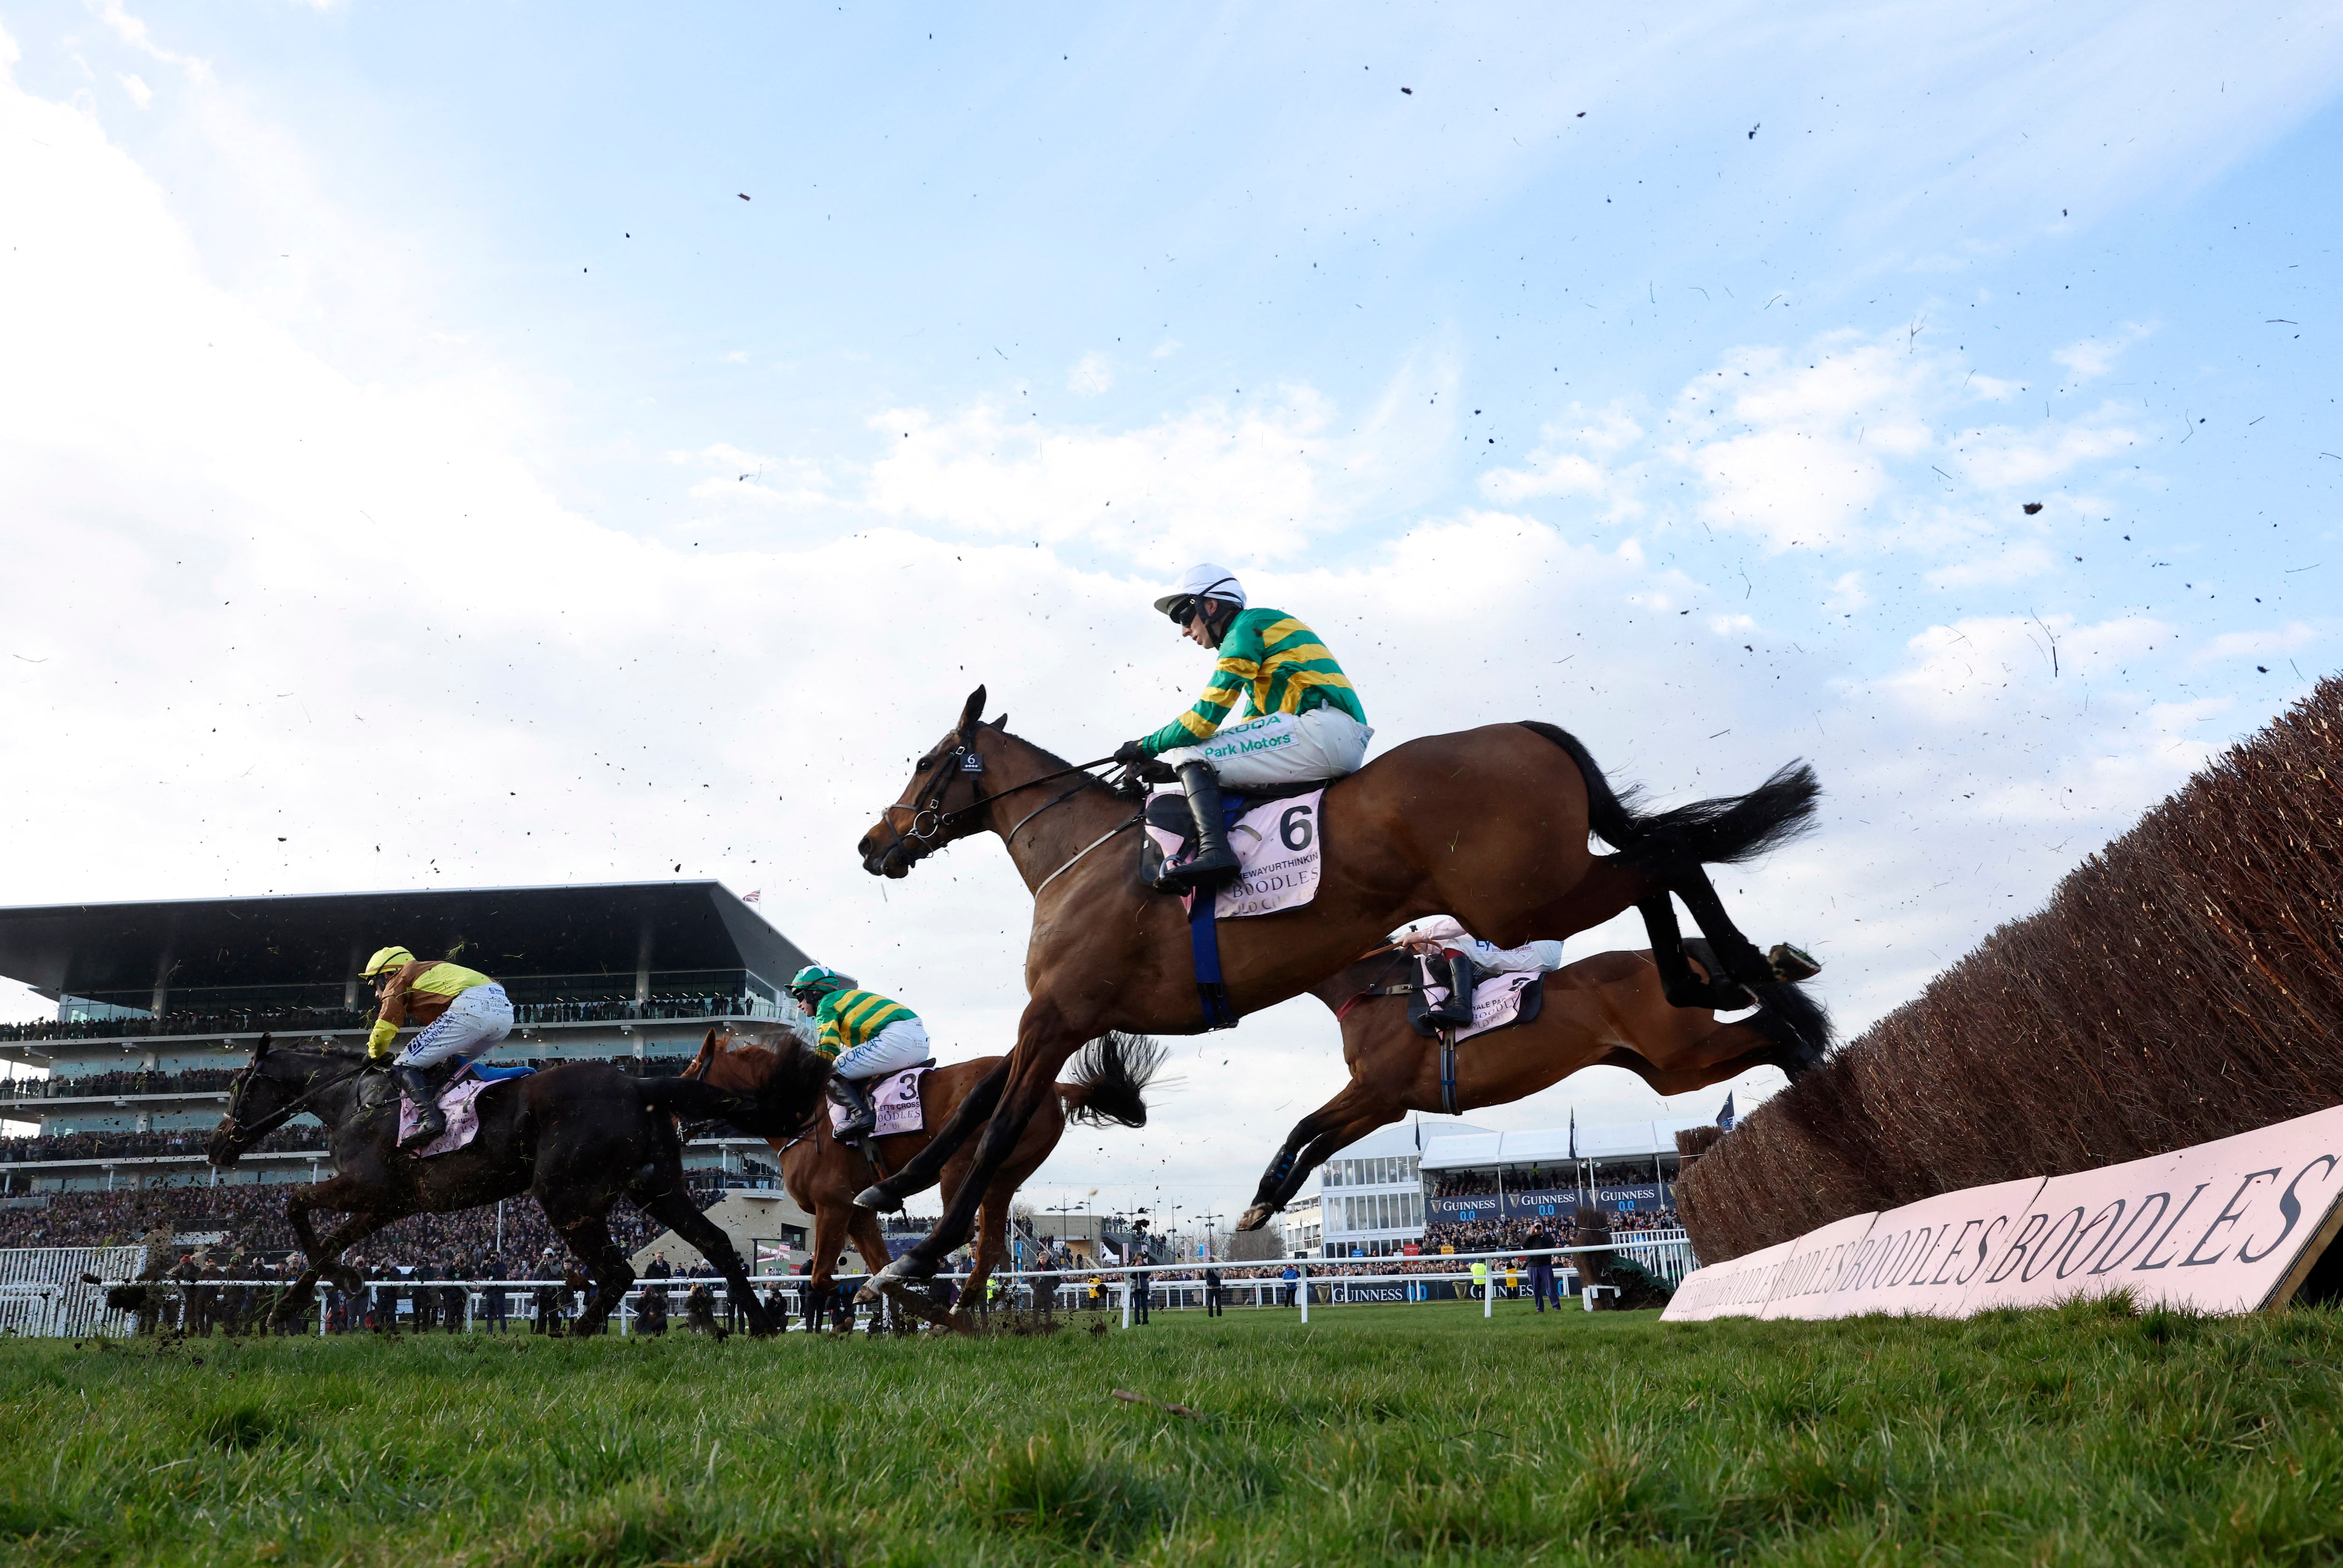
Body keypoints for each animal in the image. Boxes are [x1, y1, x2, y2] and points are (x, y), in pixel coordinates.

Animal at [204, 1034, 827, 1335]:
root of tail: (639, 1084)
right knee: (716, 1242)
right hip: (655, 1186)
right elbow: (330, 1240)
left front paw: (321, 1290)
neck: (353, 1100)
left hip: (565, 1195)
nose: (216, 1146)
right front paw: (307, 1298)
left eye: (240, 1085)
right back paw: (762, 1325)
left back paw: (573, 1334)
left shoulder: (367, 1185)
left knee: (618, 1271)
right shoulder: (392, 1202)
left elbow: (295, 1204)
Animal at [679, 1025, 1163, 1328]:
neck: (803, 1114)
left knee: (962, 1230)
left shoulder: (833, 1205)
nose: (674, 1121)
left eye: (686, 1071)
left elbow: (820, 1278)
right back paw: (955, 1315)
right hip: (1003, 1176)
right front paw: (896, 1312)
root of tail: (1055, 1087)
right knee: (989, 1247)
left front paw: (860, 1308)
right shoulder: (857, 1213)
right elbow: (870, 1266)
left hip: (962, 1163)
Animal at [1235, 943, 1833, 1230]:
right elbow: (1315, 1145)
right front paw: (1265, 1204)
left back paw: (1812, 1070)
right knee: (1765, 1039)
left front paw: (1259, 1201)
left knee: (1772, 1026)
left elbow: (1304, 1129)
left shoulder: (1376, 1091)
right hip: (1671, 1066)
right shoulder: (1383, 1102)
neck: (1379, 989)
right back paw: (1809, 1078)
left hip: (1682, 1046)